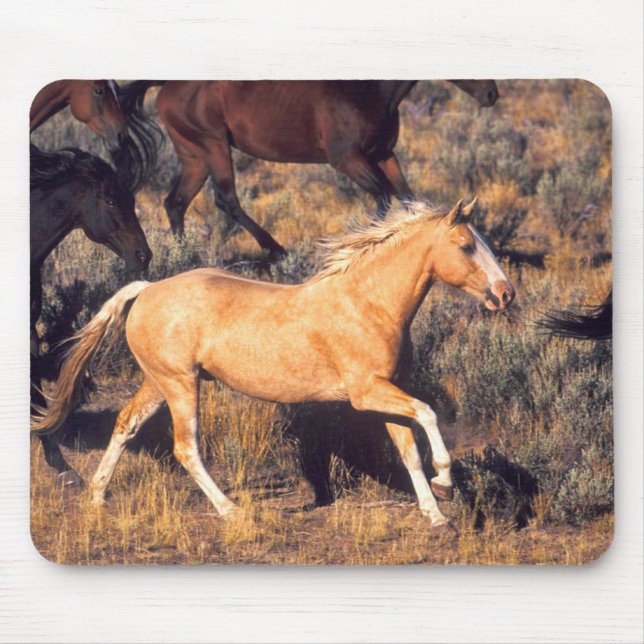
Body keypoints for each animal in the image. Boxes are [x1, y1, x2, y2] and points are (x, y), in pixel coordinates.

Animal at [32, 198, 515, 533]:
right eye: (466, 246)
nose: (506, 294)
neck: (370, 304)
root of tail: (146, 288)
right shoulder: (367, 392)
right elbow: (429, 416)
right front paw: (446, 483)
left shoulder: (388, 390)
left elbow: (410, 452)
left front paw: (437, 516)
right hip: (181, 385)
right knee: (186, 448)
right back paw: (230, 511)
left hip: (159, 382)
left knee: (126, 424)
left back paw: (97, 497)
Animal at [115, 80, 499, 256]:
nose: (492, 95)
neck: (370, 90)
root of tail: (166, 85)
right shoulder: (348, 159)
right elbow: (384, 200)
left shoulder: (384, 155)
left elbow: (406, 199)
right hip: (214, 146)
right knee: (225, 200)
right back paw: (276, 250)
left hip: (194, 155)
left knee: (176, 202)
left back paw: (185, 257)